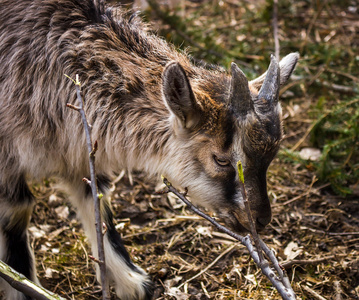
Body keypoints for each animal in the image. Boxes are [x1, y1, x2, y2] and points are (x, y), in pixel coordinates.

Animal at [0, 1, 298, 298]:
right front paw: (23, 287)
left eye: (270, 158)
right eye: (221, 160)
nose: (261, 220)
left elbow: (96, 200)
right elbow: (18, 210)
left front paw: (130, 282)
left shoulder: (77, 150)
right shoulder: (9, 153)